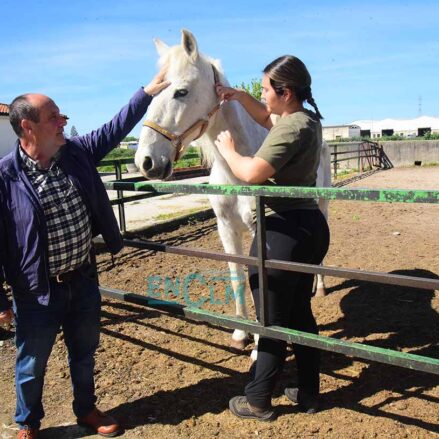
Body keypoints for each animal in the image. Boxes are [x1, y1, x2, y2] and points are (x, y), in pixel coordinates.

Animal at [136, 31, 332, 356]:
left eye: (181, 92)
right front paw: (242, 333)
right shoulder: (226, 229)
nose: (146, 162)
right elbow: (237, 277)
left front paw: (259, 343)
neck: (236, 172)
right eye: (151, 95)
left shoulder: (259, 233)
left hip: (323, 204)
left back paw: (322, 288)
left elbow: (259, 282)